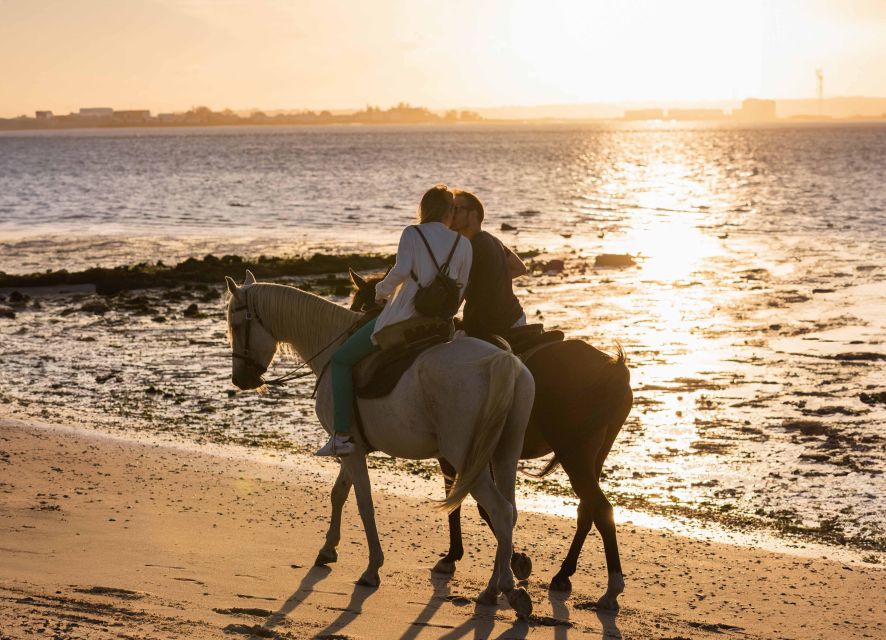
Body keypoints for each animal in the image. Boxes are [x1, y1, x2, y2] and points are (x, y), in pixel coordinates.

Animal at [225, 272, 536, 616]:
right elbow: (338, 494)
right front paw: (328, 549)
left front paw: (372, 568)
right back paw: (496, 587)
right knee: (509, 510)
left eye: (236, 326)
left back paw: (503, 587)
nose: (240, 379)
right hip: (504, 455)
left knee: (499, 511)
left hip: (469, 459)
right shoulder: (350, 446)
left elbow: (364, 504)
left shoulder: (353, 452)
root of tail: (501, 359)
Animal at [350, 270, 636, 608]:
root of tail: (613, 368)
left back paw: (611, 588)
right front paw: (505, 563)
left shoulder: (456, 454)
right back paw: (564, 573)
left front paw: (481, 560)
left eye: (361, 308)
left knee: (599, 508)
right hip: (593, 454)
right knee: (587, 509)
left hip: (573, 452)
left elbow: (474, 506)